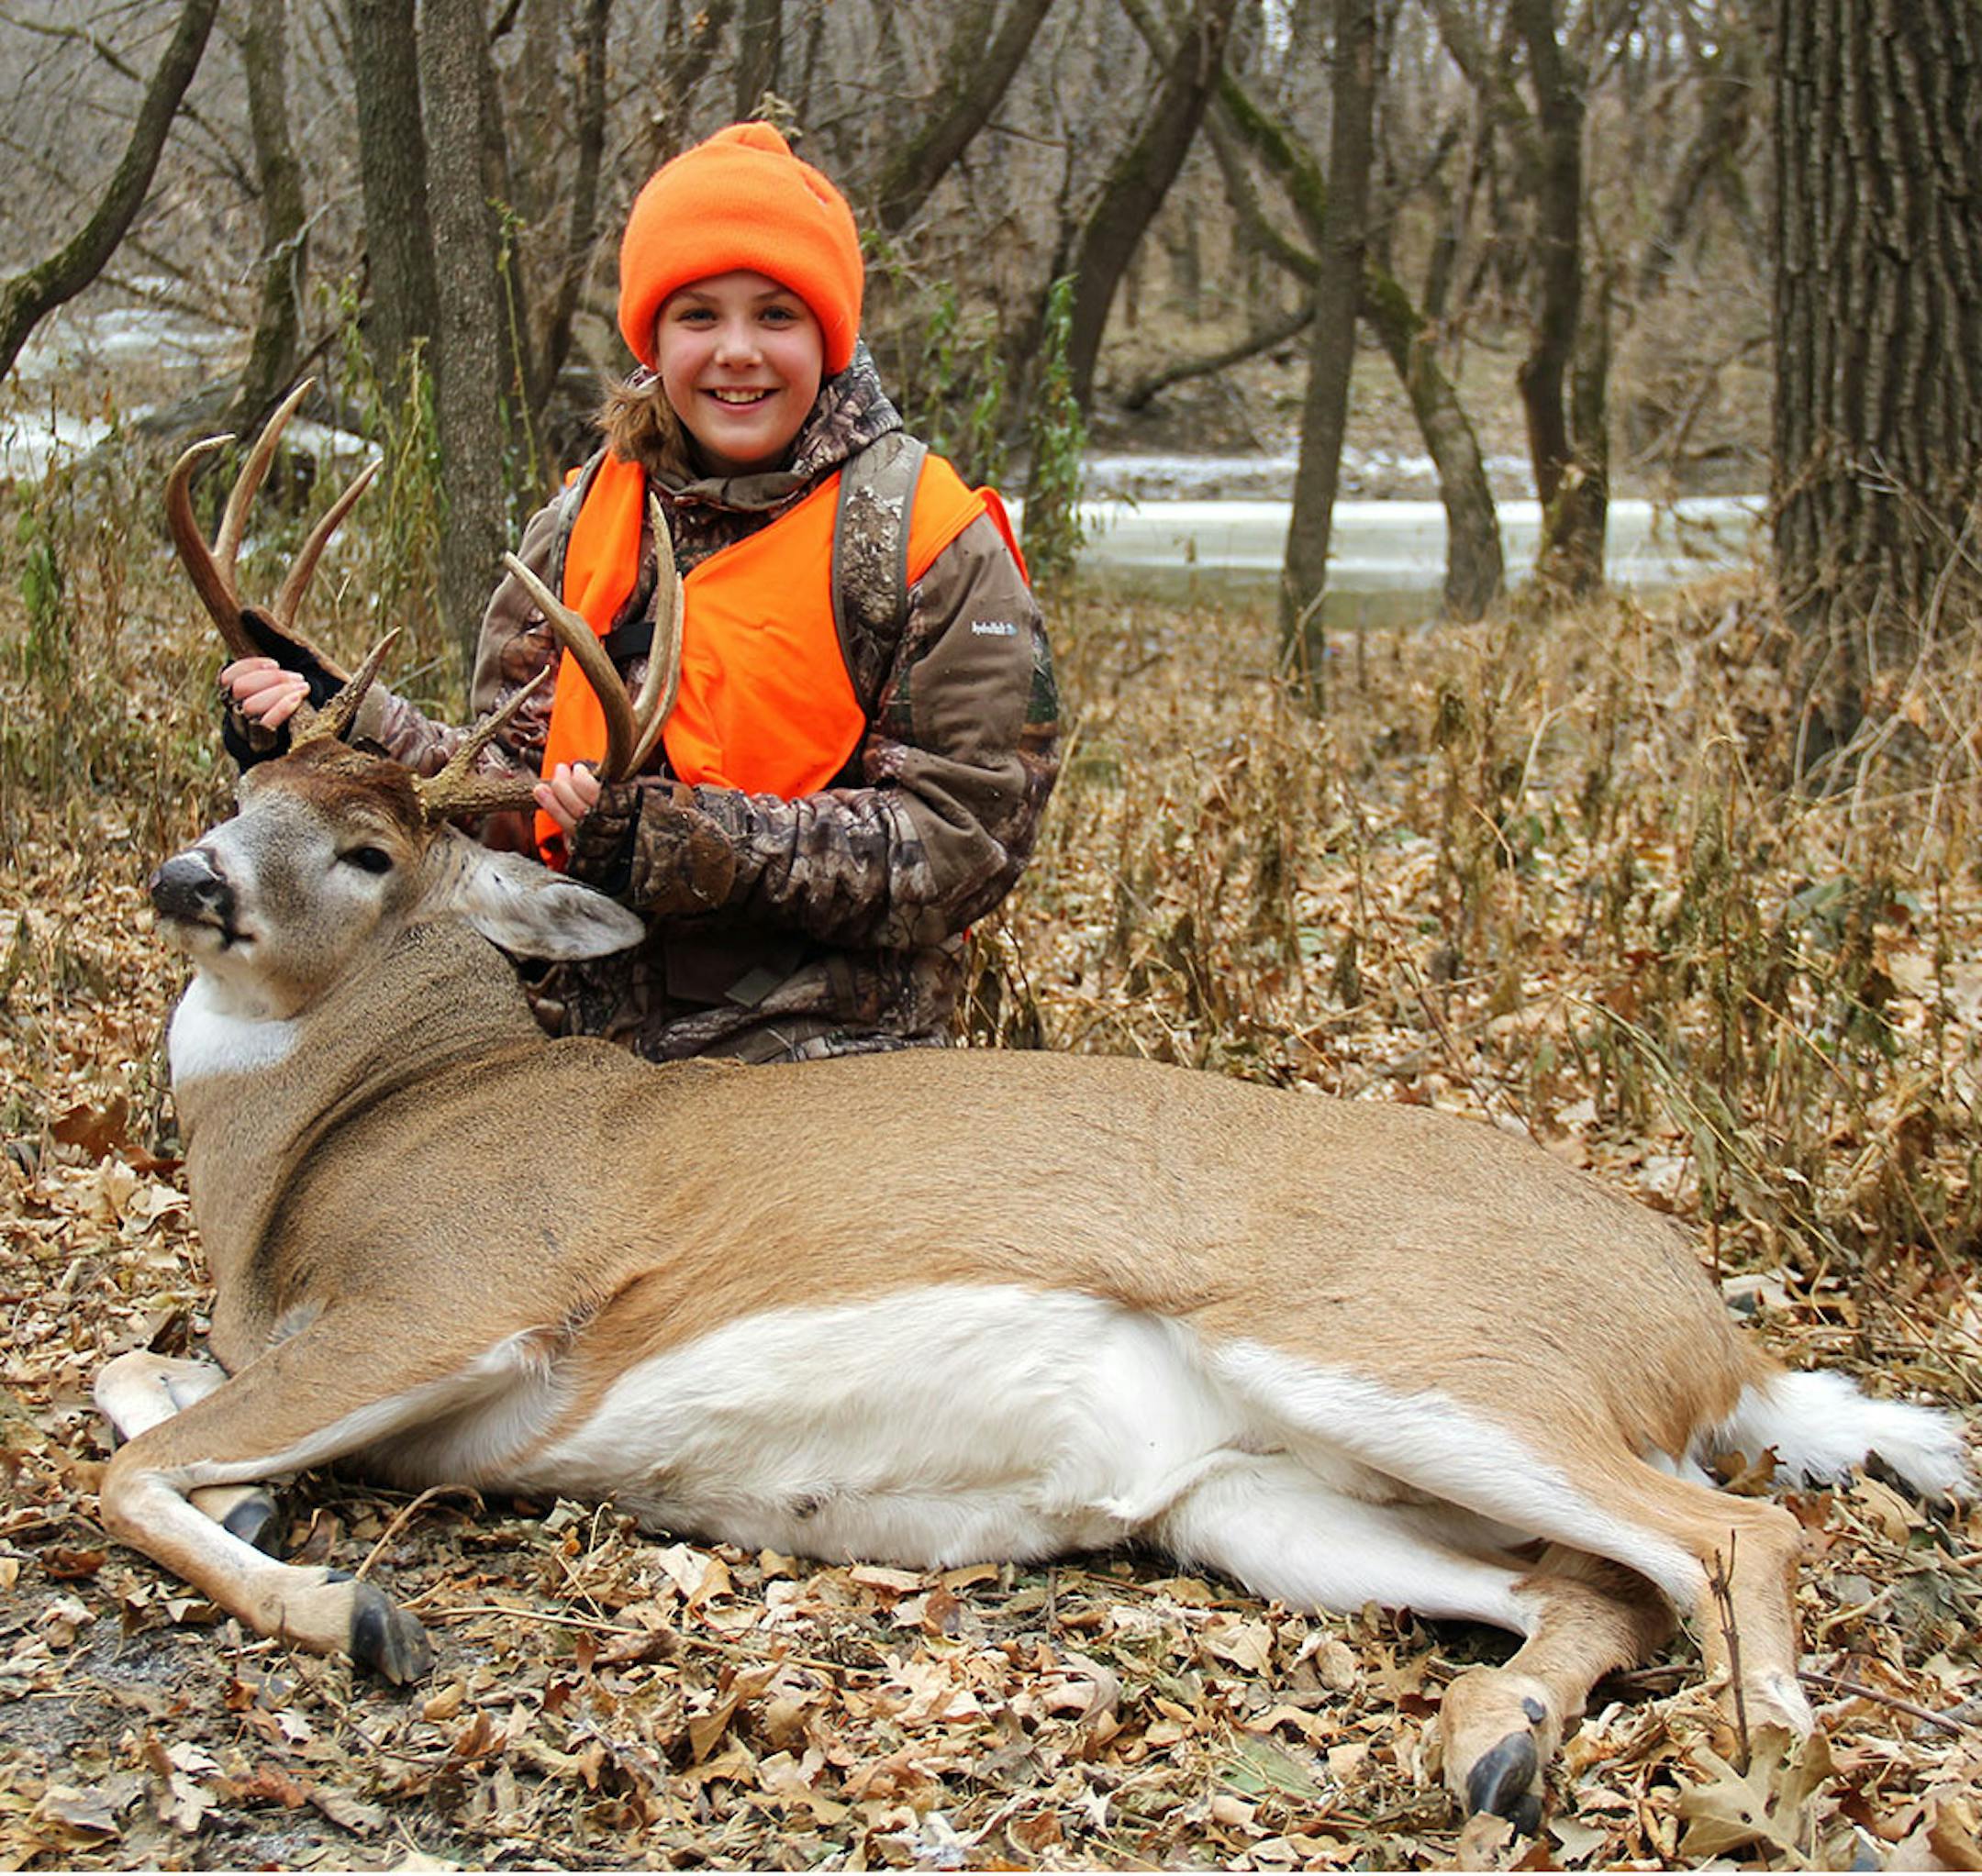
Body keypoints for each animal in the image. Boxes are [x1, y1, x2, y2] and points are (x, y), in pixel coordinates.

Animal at [96, 391, 1972, 1836]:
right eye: (248, 787)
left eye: (370, 854)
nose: (189, 877)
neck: (340, 1145)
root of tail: (1715, 1339)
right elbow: (136, 1376)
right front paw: (267, 1510)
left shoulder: (458, 1292)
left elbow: (112, 1456)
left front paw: (352, 1611)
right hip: (1264, 1503)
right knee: (1604, 1585)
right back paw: (1492, 1744)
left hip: (1414, 1348)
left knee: (1739, 1534)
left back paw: (1764, 1775)